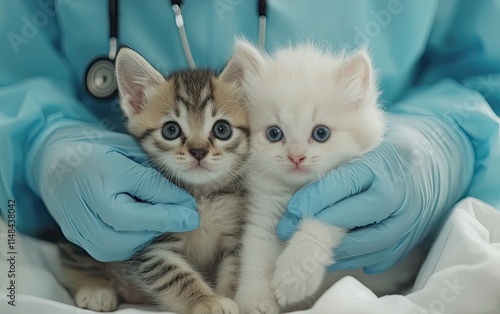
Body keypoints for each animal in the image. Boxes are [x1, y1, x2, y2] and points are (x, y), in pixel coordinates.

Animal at [58, 47, 248, 314]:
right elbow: (175, 276)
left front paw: (231, 296)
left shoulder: (234, 236)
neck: (201, 196)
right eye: (171, 130)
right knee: (73, 257)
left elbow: (235, 271)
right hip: (85, 235)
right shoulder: (150, 242)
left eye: (222, 130)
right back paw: (94, 288)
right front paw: (207, 301)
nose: (198, 151)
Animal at [225, 40, 384, 312]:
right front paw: (255, 299)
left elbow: (314, 226)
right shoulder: (263, 216)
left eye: (321, 133)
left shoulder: (343, 202)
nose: (296, 157)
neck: (294, 193)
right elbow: (256, 256)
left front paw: (294, 276)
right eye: (274, 134)